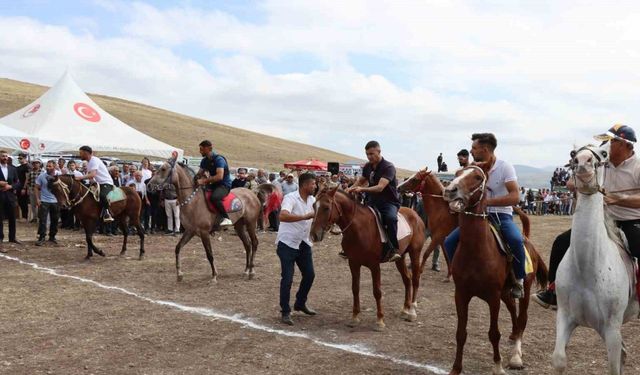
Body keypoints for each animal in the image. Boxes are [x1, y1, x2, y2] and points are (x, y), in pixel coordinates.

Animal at [308, 188, 424, 332]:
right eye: (314, 206)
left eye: (326, 207)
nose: (314, 235)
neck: (359, 228)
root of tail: (415, 214)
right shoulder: (353, 263)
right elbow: (355, 288)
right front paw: (354, 317)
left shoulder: (374, 266)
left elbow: (377, 292)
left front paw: (380, 321)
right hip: (400, 257)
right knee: (407, 279)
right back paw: (405, 309)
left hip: (415, 253)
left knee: (415, 279)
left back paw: (412, 311)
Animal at [442, 166, 548, 375]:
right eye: (457, 173)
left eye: (477, 177)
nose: (450, 190)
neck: (476, 250)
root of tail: (526, 239)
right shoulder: (461, 295)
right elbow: (461, 333)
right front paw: (456, 368)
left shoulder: (492, 297)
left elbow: (494, 333)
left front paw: (497, 366)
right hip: (505, 294)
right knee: (514, 312)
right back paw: (513, 337)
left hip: (523, 291)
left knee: (522, 319)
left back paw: (516, 356)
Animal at [552, 143, 636, 374]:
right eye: (573, 154)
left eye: (604, 153)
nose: (583, 162)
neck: (587, 269)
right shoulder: (565, 317)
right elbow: (559, 359)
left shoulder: (612, 328)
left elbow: (614, 366)